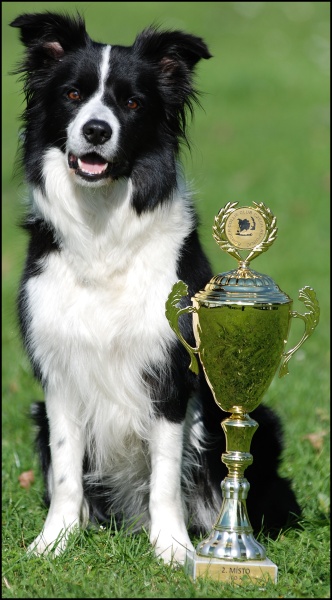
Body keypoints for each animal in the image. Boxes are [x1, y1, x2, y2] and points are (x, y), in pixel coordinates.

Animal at [11, 12, 300, 564]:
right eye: (73, 94)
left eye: (132, 102)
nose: (96, 130)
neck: (103, 229)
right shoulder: (58, 375)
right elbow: (65, 473)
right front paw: (53, 542)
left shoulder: (170, 375)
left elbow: (166, 475)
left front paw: (174, 550)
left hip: (262, 423)